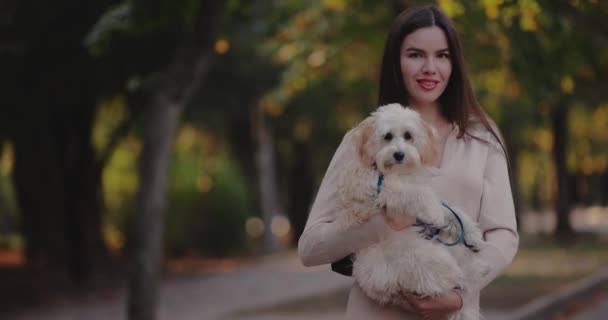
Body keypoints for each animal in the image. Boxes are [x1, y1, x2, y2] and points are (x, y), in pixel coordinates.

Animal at [334, 104, 492, 318]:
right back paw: (472, 271)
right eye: (387, 136)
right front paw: (434, 213)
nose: (399, 154)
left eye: (408, 136)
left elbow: (451, 209)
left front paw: (471, 233)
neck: (394, 172)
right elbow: (418, 194)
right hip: (423, 258)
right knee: (454, 277)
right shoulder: (384, 189)